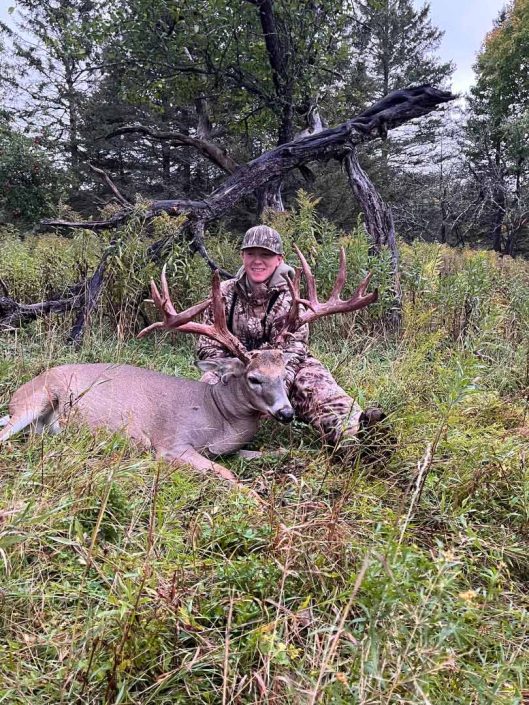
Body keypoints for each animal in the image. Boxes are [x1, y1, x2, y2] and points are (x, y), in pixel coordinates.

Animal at [0, 245, 376, 492]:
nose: (285, 413)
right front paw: (254, 496)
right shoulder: (171, 444)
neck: (218, 418)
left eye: (284, 376)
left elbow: (274, 451)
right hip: (36, 399)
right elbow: (226, 475)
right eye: (253, 378)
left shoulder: (233, 448)